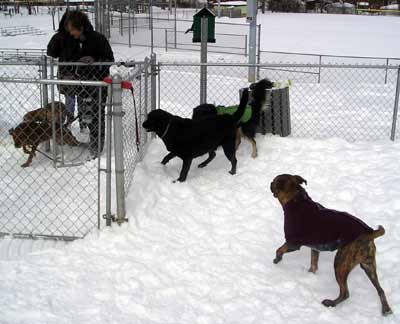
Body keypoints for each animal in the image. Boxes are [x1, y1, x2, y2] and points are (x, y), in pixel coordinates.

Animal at [270, 175, 392, 316]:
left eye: (276, 181)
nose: (270, 182)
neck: (296, 200)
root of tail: (369, 232)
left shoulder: (293, 243)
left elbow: (279, 249)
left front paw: (277, 260)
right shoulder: (315, 248)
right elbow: (313, 264)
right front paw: (310, 274)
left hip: (341, 263)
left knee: (345, 293)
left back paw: (331, 303)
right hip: (368, 265)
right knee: (380, 289)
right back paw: (386, 309)